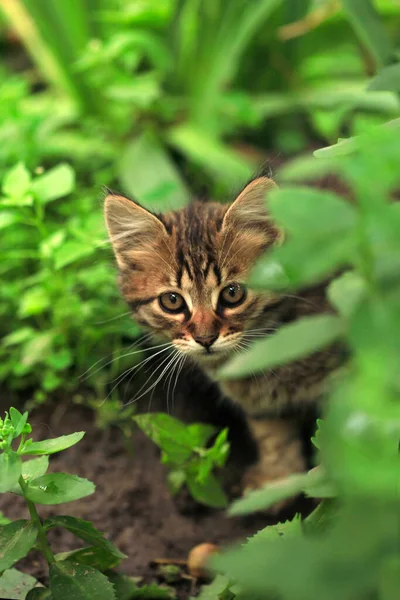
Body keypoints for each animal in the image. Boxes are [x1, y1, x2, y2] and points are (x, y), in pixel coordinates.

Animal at [104, 177, 342, 502]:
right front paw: (278, 480)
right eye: (172, 301)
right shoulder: (260, 405)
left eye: (232, 293)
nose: (205, 339)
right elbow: (272, 434)